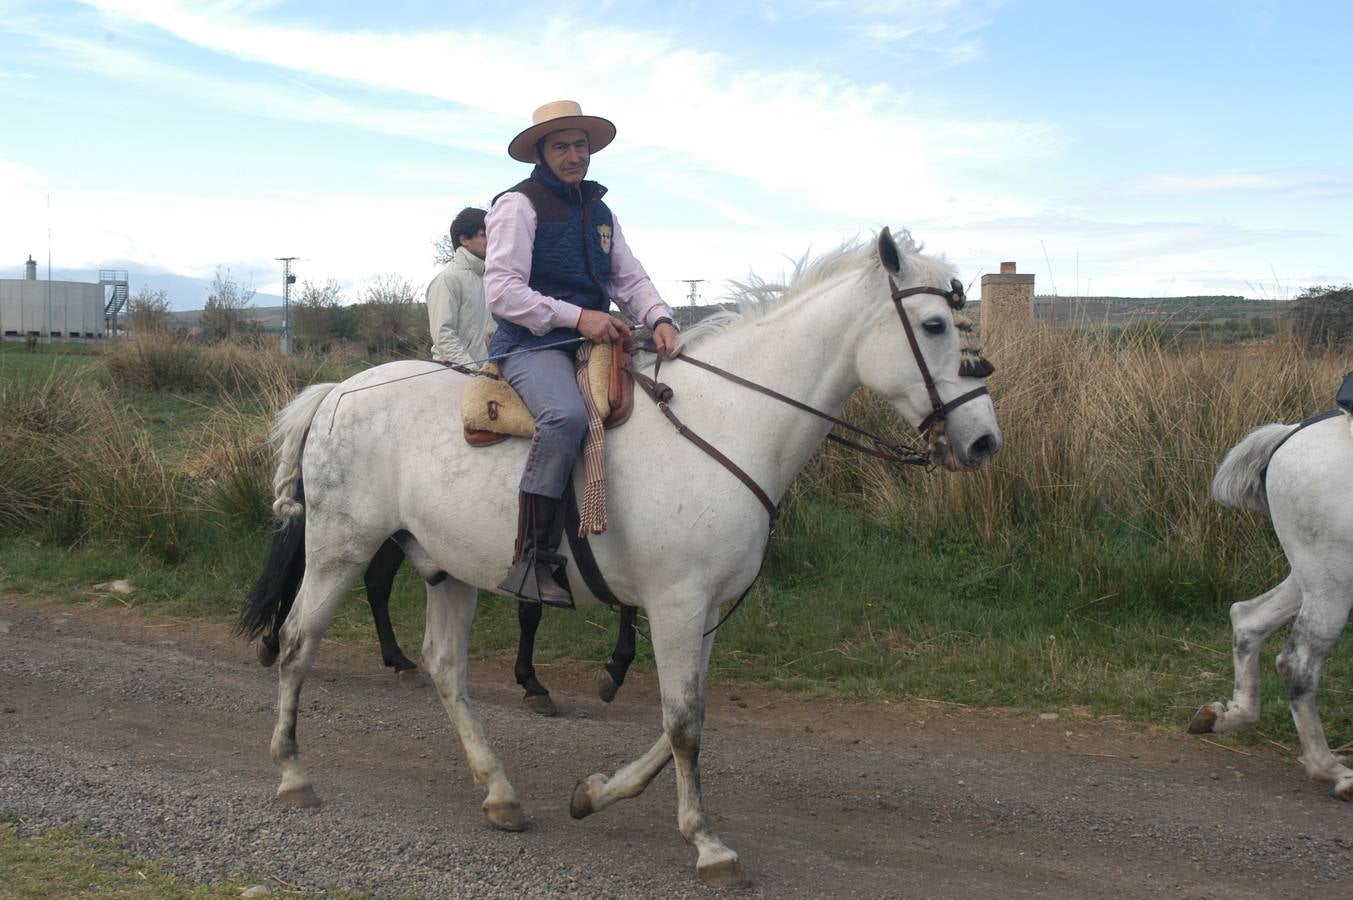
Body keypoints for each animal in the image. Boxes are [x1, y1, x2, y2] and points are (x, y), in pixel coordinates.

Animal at [244, 498, 638, 714]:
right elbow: (530, 610)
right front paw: (532, 683)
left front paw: (615, 667)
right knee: (300, 565)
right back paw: (273, 642)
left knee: (376, 582)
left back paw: (398, 661)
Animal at [1196, 411, 1353, 795]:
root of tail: (1292, 433)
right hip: (1332, 581)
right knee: (1298, 664)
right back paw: (1331, 770)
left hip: (1312, 574)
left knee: (1248, 617)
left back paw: (1231, 714)